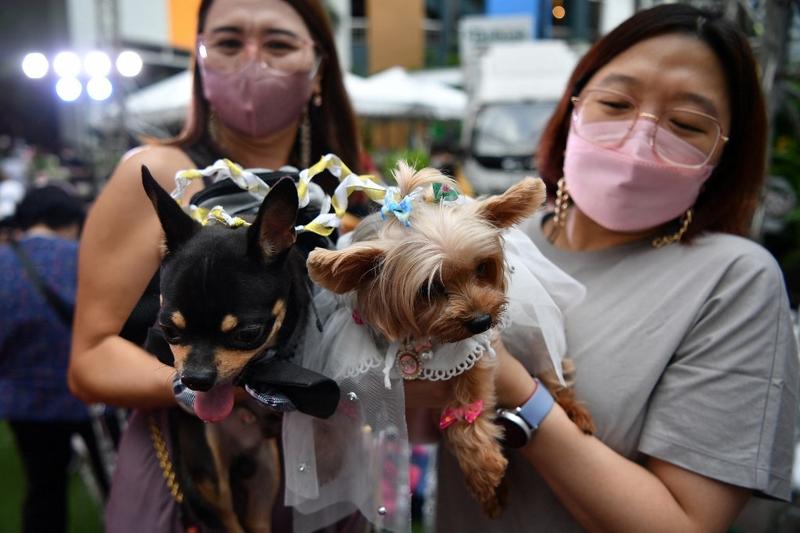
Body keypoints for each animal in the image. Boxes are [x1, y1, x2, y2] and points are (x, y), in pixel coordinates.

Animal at [141, 166, 334, 532]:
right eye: (169, 330)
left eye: (248, 334)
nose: (195, 380)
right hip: (209, 478)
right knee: (229, 519)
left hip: (266, 473)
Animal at [306, 163, 593, 518]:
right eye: (429, 289)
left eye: (482, 267)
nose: (482, 321)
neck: (422, 337)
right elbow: (339, 409)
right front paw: (324, 457)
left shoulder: (472, 353)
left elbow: (467, 409)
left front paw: (484, 473)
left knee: (553, 369)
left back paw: (573, 411)